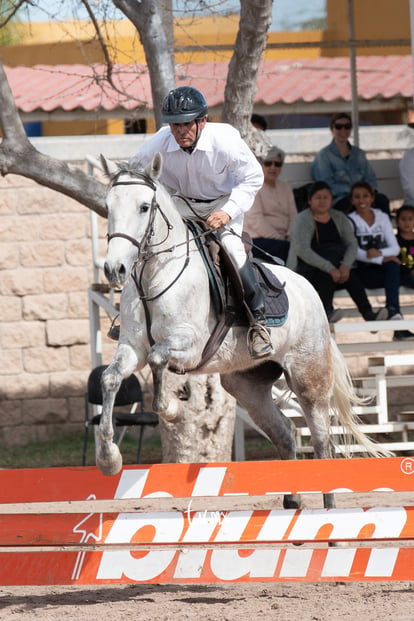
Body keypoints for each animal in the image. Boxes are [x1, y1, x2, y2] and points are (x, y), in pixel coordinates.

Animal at [98, 153, 390, 506]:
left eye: (144, 207)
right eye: (108, 205)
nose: (115, 269)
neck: (155, 275)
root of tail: (309, 288)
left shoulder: (189, 344)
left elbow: (157, 358)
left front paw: (170, 410)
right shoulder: (131, 348)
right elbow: (111, 377)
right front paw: (109, 457)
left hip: (309, 378)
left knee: (322, 442)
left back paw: (327, 508)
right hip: (247, 385)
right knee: (284, 431)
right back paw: (292, 500)